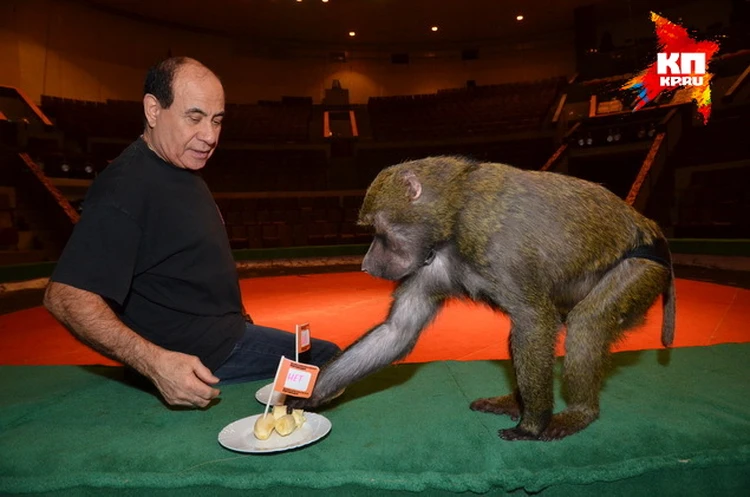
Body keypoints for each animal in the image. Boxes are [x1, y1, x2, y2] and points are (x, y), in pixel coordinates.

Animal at [288, 156, 676, 442]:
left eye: (379, 232)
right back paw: (517, 401)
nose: (367, 265)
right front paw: (304, 394)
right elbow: (398, 330)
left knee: (585, 323)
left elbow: (534, 319)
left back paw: (578, 413)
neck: (453, 216)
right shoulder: (431, 262)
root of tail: (649, 226)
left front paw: (532, 425)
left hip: (642, 270)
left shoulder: (494, 241)